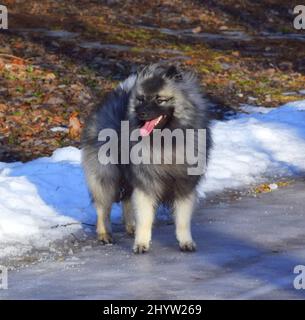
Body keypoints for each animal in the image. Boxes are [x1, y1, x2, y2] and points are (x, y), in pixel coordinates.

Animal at [81, 63, 210, 254]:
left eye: (159, 99)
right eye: (141, 99)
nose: (140, 113)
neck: (165, 140)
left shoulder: (184, 185)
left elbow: (182, 220)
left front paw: (186, 242)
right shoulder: (146, 183)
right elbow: (145, 218)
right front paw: (141, 243)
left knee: (126, 201)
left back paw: (130, 227)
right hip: (106, 176)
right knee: (103, 208)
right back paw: (104, 234)